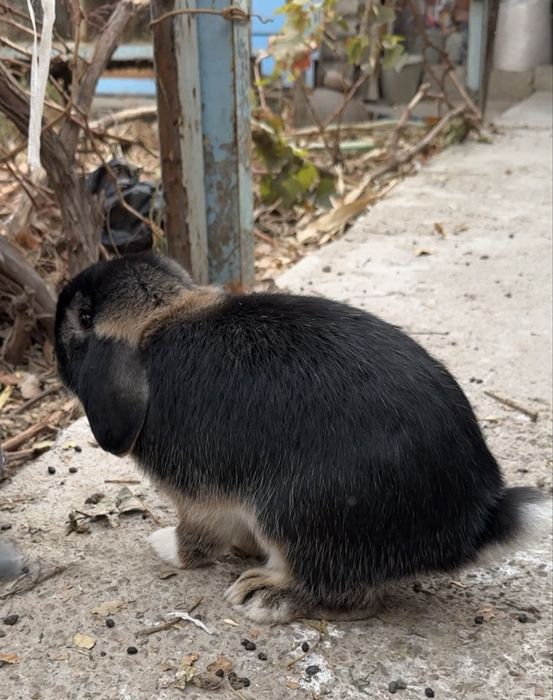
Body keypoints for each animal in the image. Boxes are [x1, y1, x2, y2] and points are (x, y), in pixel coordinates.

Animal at [54, 252, 550, 623]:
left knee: (349, 595)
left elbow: (198, 536)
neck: (161, 317)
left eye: (83, 317)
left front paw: (163, 547)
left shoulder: (197, 496)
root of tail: (474, 523)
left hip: (295, 513)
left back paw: (263, 597)